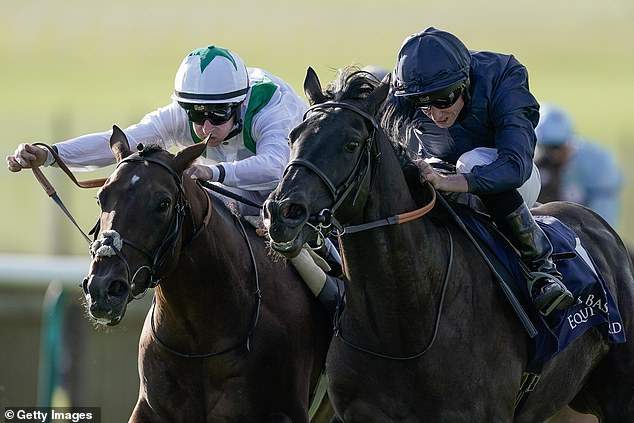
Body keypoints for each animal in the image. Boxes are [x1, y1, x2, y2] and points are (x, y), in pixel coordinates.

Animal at [81, 126, 334, 423]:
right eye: (101, 197)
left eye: (163, 204)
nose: (103, 288)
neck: (198, 340)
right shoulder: (150, 409)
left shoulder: (281, 412)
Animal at [262, 68, 632, 422]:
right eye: (293, 136)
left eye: (351, 144)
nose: (281, 212)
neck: (402, 325)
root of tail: (597, 224)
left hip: (617, 397)